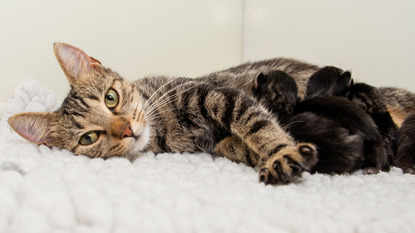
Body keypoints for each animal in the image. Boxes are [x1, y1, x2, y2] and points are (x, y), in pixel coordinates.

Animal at [6, 41, 415, 185]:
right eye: (89, 138)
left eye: (110, 98)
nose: (127, 130)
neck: (163, 128)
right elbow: (229, 143)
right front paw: (245, 150)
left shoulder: (218, 95)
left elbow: (257, 124)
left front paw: (279, 152)